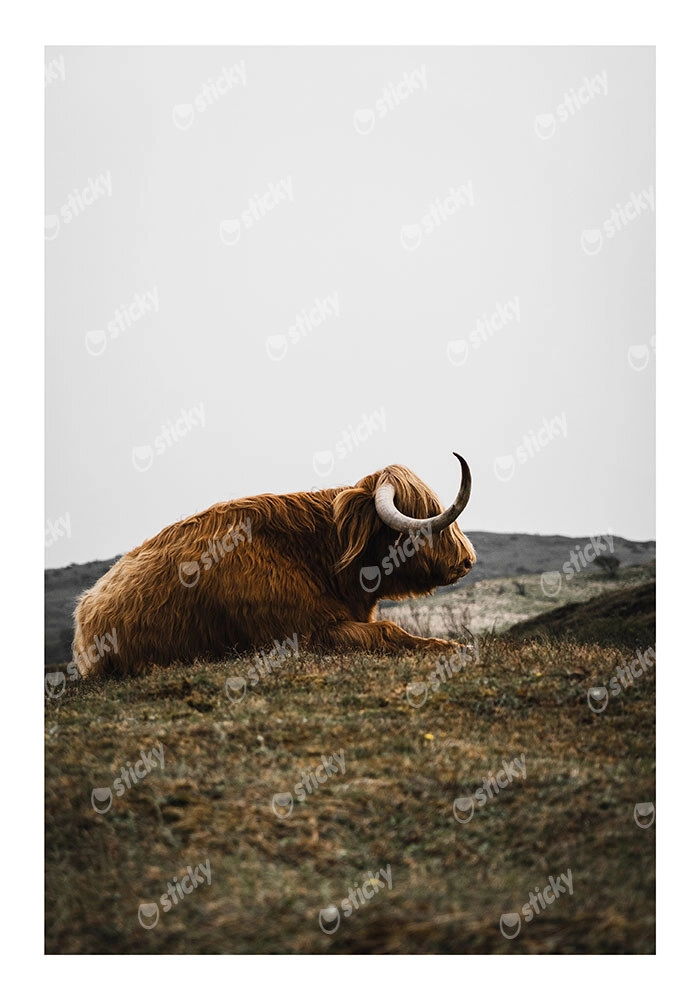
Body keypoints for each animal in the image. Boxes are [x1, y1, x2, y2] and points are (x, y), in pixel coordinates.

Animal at [72, 453, 476, 677]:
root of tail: (86, 607)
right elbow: (388, 632)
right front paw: (456, 647)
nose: (467, 560)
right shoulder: (304, 636)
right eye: (425, 516)